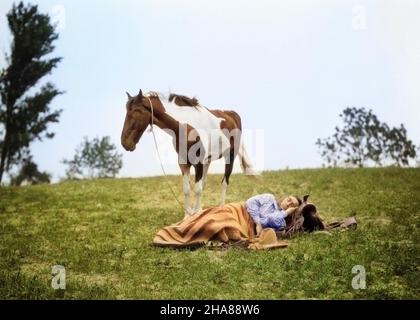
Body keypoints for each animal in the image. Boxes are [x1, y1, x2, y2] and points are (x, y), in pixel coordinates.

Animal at [120, 89, 254, 216]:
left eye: (137, 111)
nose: (125, 143)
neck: (187, 127)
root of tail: (232, 114)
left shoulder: (198, 163)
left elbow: (197, 189)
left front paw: (196, 215)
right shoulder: (184, 163)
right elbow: (187, 189)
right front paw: (188, 216)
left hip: (229, 157)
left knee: (224, 182)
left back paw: (221, 210)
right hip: (208, 161)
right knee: (204, 182)